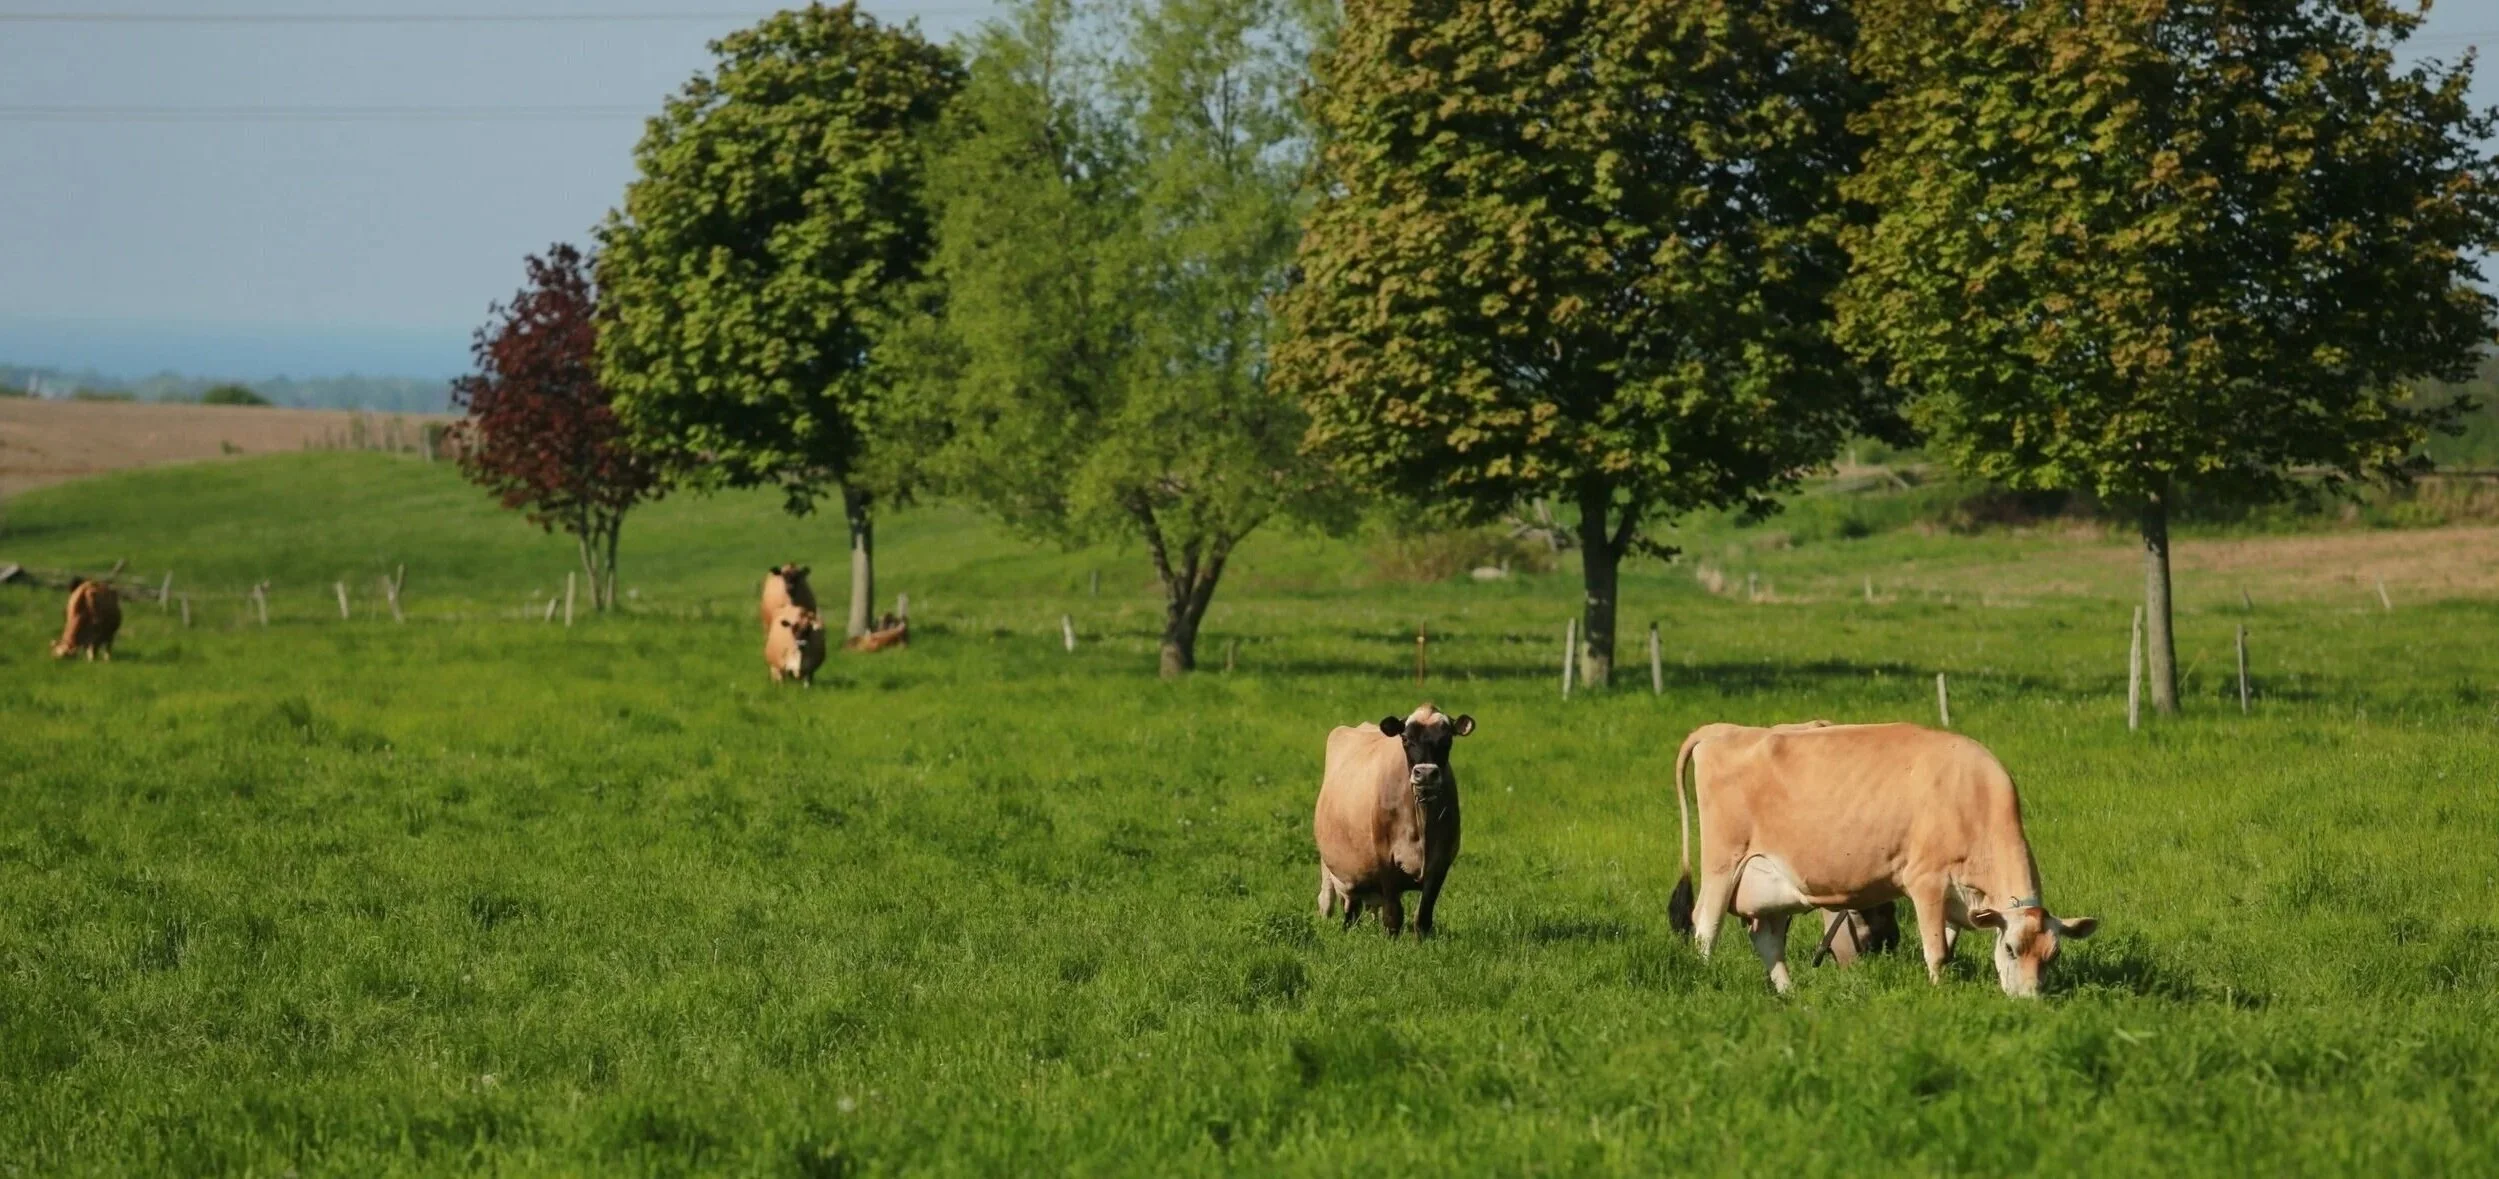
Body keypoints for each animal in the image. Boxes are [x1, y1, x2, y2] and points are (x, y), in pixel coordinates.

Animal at [1313, 703, 1475, 938]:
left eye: (1447, 739)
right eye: (1406, 738)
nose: (1426, 773)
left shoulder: (1440, 863)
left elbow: (1423, 917)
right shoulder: (1385, 859)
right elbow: (1393, 916)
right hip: (1332, 866)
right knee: (1329, 901)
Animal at [1667, 721, 2097, 997]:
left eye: (2053, 956)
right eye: (2010, 949)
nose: (2028, 1000)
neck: (1972, 796)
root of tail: (1722, 730)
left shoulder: (1957, 902)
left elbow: (1949, 945)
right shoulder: (1926, 882)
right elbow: (1937, 952)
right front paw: (1939, 992)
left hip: (1771, 885)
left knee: (1767, 938)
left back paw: (1790, 995)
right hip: (1723, 862)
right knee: (1705, 926)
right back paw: (1705, 979)